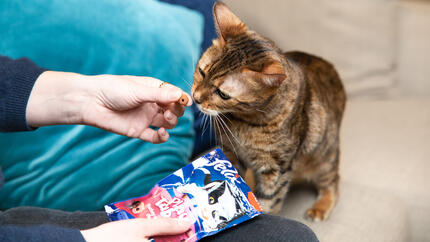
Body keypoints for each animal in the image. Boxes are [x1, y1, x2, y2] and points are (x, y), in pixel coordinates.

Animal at [191, 2, 346, 221]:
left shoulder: (276, 169)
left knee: (332, 182)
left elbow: (269, 200)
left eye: (223, 94)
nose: (195, 97)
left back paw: (320, 206)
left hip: (324, 158)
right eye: (202, 72)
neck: (243, 122)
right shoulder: (229, 152)